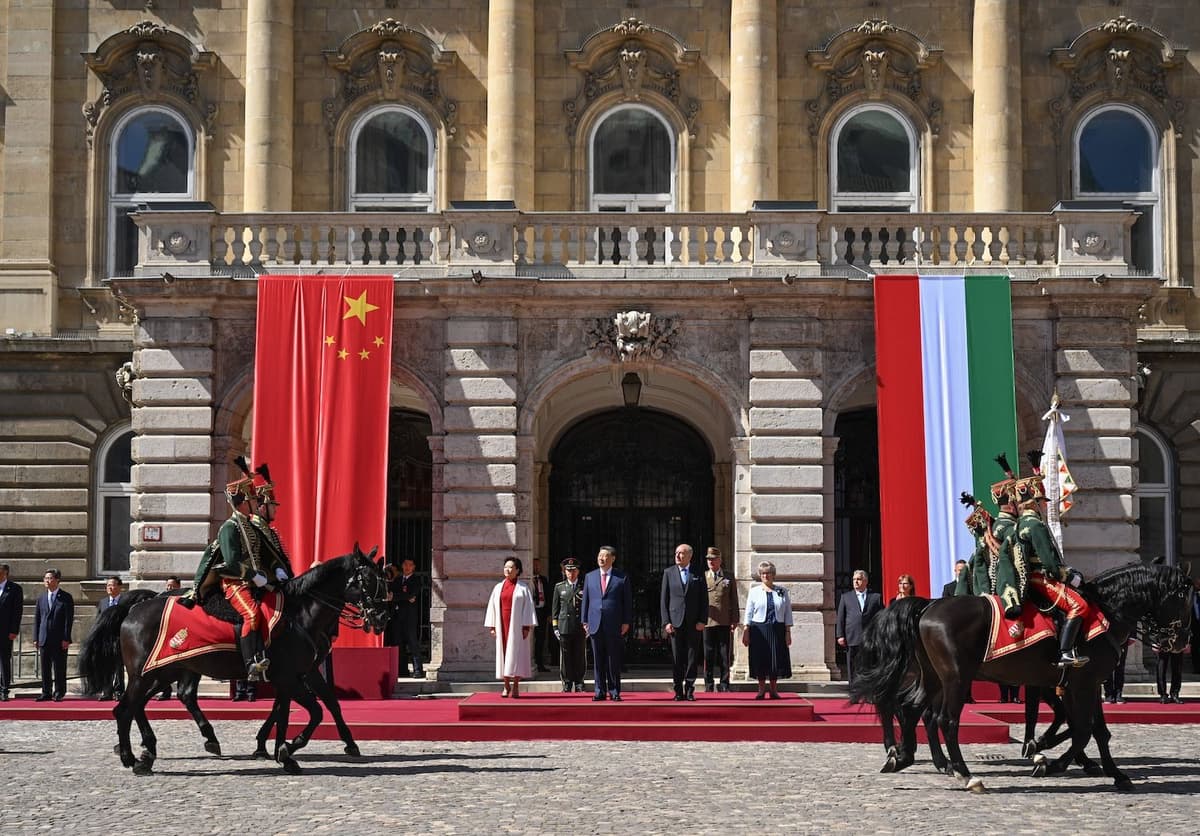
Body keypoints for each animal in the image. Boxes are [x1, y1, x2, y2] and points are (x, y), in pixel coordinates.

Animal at [78, 544, 388, 772]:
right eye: (369, 580)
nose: (382, 617)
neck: (299, 614)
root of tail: (134, 609)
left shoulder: (298, 674)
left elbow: (309, 708)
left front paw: (282, 751)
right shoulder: (290, 676)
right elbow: (314, 711)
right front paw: (286, 747)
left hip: (164, 671)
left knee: (144, 704)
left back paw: (153, 749)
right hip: (147, 673)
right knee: (128, 708)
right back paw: (134, 756)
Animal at [849, 561, 1195, 786]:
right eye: (1183, 597)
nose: (1181, 641)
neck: (1106, 612)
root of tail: (927, 606)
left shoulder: (1083, 683)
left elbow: (1095, 729)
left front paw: (1113, 772)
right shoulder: (1080, 683)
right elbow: (1081, 728)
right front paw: (1050, 761)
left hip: (933, 677)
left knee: (911, 710)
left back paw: (906, 757)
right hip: (955, 679)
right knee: (940, 718)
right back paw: (959, 770)